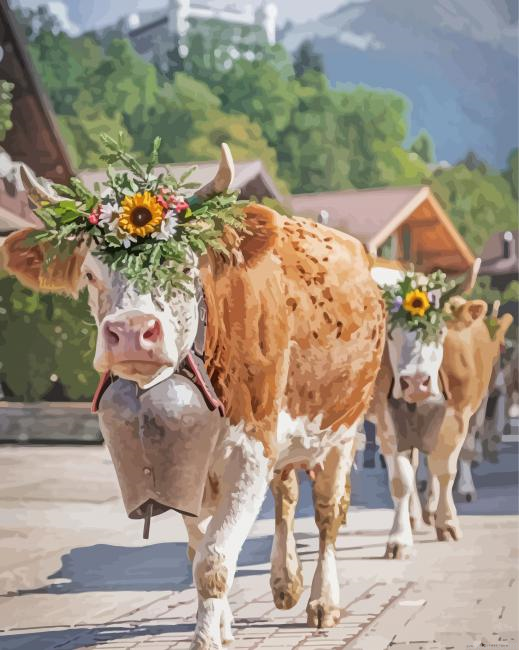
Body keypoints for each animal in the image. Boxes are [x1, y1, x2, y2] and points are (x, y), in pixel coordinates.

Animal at [1, 146, 385, 648]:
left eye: (185, 267)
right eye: (89, 273)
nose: (131, 331)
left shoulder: (251, 449)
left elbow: (214, 560)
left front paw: (206, 637)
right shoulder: (184, 467)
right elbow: (196, 547)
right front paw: (220, 625)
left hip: (343, 428)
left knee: (326, 514)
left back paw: (323, 600)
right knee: (285, 495)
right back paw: (285, 583)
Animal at [368, 266, 513, 558]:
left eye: (439, 332)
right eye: (391, 334)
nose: (415, 382)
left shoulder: (457, 416)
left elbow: (445, 469)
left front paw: (447, 523)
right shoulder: (386, 420)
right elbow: (401, 480)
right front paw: (399, 538)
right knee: (416, 467)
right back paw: (415, 514)